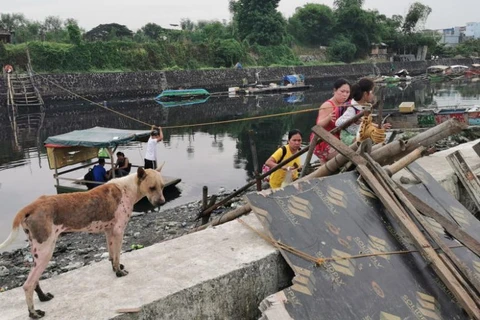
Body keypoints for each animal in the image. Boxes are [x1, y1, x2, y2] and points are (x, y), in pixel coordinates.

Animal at [0, 166, 167, 318]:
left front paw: (116, 268)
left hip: (37, 252)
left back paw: (43, 297)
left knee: (34, 280)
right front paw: (119, 272)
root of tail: (31, 206)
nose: (162, 202)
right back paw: (33, 313)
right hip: (46, 250)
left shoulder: (109, 231)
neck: (127, 187)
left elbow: (112, 255)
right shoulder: (119, 231)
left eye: (163, 186)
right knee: (27, 284)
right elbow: (117, 255)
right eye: (152, 187)